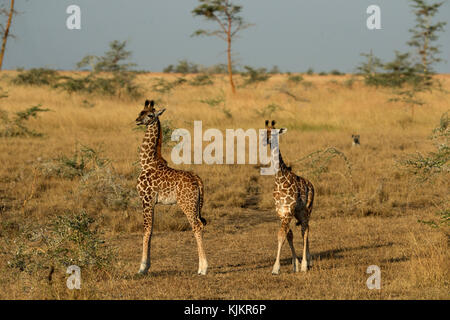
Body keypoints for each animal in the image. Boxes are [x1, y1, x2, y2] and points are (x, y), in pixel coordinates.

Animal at [135, 100, 209, 276]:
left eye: (150, 115)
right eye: (141, 112)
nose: (137, 120)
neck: (146, 162)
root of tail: (198, 180)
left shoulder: (146, 199)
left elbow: (146, 229)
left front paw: (142, 267)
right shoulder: (152, 203)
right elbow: (151, 230)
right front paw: (147, 265)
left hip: (187, 204)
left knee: (196, 226)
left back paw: (203, 268)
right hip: (196, 205)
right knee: (200, 224)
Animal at [266, 120, 314, 276]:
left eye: (275, 132)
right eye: (265, 131)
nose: (266, 140)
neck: (280, 179)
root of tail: (311, 185)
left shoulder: (288, 211)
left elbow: (282, 235)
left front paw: (276, 268)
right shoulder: (281, 212)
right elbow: (288, 235)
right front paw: (295, 264)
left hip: (306, 211)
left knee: (305, 230)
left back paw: (305, 264)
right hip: (299, 213)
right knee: (305, 229)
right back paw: (308, 261)